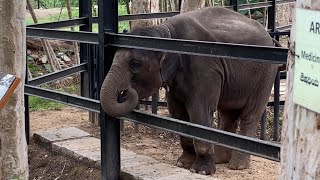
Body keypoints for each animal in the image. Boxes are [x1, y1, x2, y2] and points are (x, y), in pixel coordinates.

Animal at [99, 6, 282, 175]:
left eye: (135, 64)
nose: (126, 91)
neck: (165, 31)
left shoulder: (204, 67)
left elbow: (199, 112)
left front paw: (201, 171)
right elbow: (177, 112)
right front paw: (183, 163)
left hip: (265, 74)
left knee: (250, 114)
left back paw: (237, 166)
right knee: (228, 114)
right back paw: (221, 159)